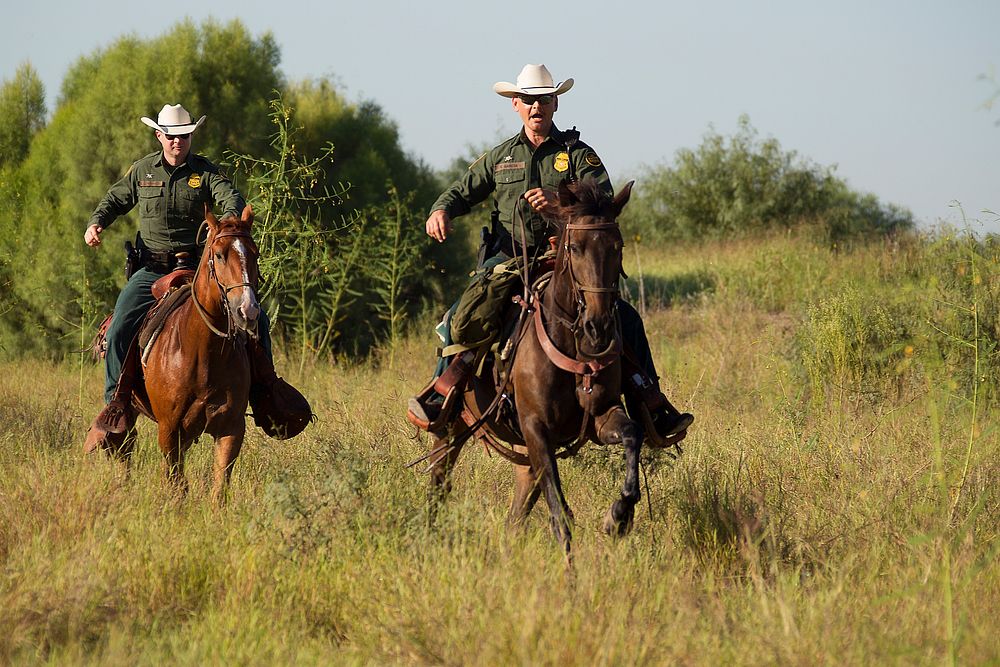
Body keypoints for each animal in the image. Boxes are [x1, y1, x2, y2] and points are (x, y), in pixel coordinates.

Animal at [132, 206, 262, 504]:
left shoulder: (231, 428)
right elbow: (178, 484)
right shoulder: (169, 429)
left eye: (256, 253)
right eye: (219, 254)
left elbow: (219, 487)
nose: (247, 311)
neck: (203, 353)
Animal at [422, 179, 640, 560]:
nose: (598, 326)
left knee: (518, 509)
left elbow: (632, 437)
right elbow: (559, 511)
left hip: (523, 454)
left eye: (618, 246)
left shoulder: (601, 416)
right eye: (575, 247)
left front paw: (619, 517)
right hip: (450, 429)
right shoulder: (537, 429)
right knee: (439, 484)